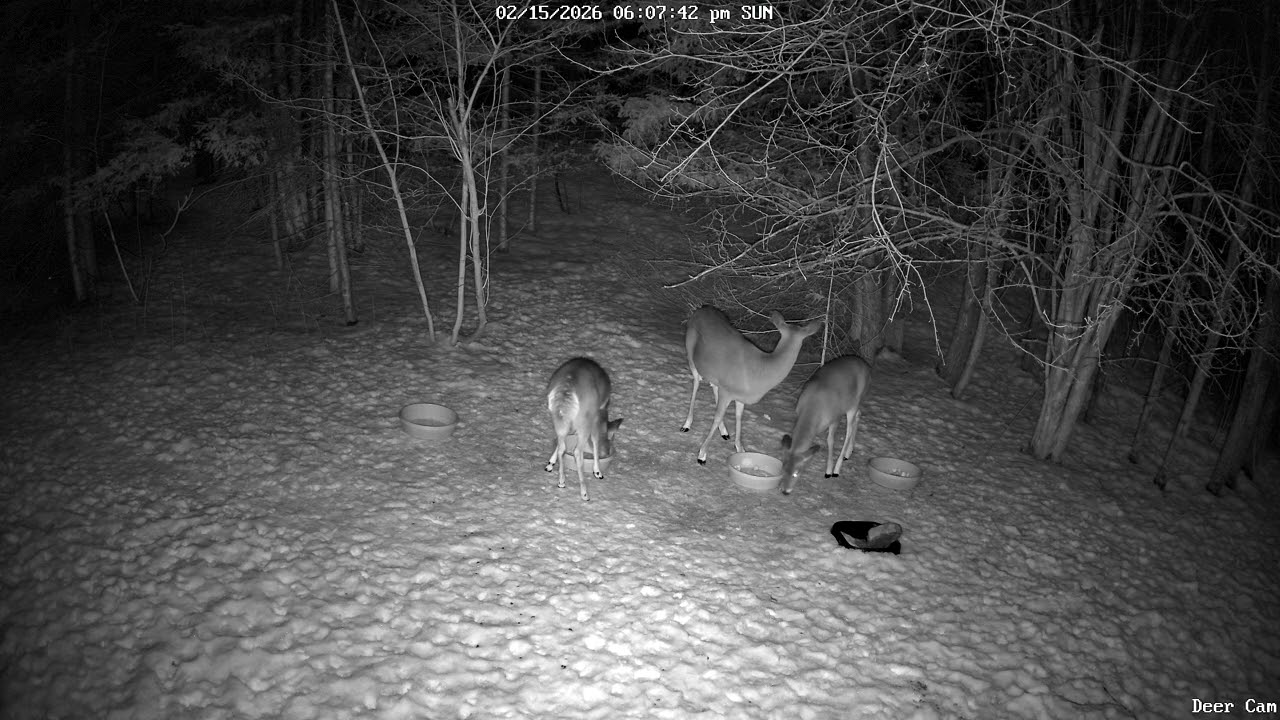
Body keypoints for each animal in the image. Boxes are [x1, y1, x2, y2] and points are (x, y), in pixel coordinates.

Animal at [545, 357, 623, 501]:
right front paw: (598, 471)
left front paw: (550, 464)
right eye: (610, 441)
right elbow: (595, 440)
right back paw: (585, 493)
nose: (607, 452)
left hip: (557, 418)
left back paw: (561, 482)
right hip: (584, 422)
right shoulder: (595, 419)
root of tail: (566, 389)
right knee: (577, 452)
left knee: (563, 447)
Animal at [681, 306, 822, 464]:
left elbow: (739, 417)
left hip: (713, 374)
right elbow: (716, 417)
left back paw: (724, 432)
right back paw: (686, 424)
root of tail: (700, 309)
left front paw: (740, 449)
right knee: (696, 382)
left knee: (712, 386)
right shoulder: (727, 391)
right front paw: (702, 455)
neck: (760, 371)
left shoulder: (740, 396)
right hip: (690, 351)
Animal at [779, 355, 873, 494]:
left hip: (854, 402)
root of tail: (866, 365)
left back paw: (838, 468)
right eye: (783, 468)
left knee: (849, 430)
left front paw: (828, 471)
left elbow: (830, 441)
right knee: (859, 415)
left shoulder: (835, 418)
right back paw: (849, 453)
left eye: (797, 473)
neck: (812, 408)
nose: (785, 491)